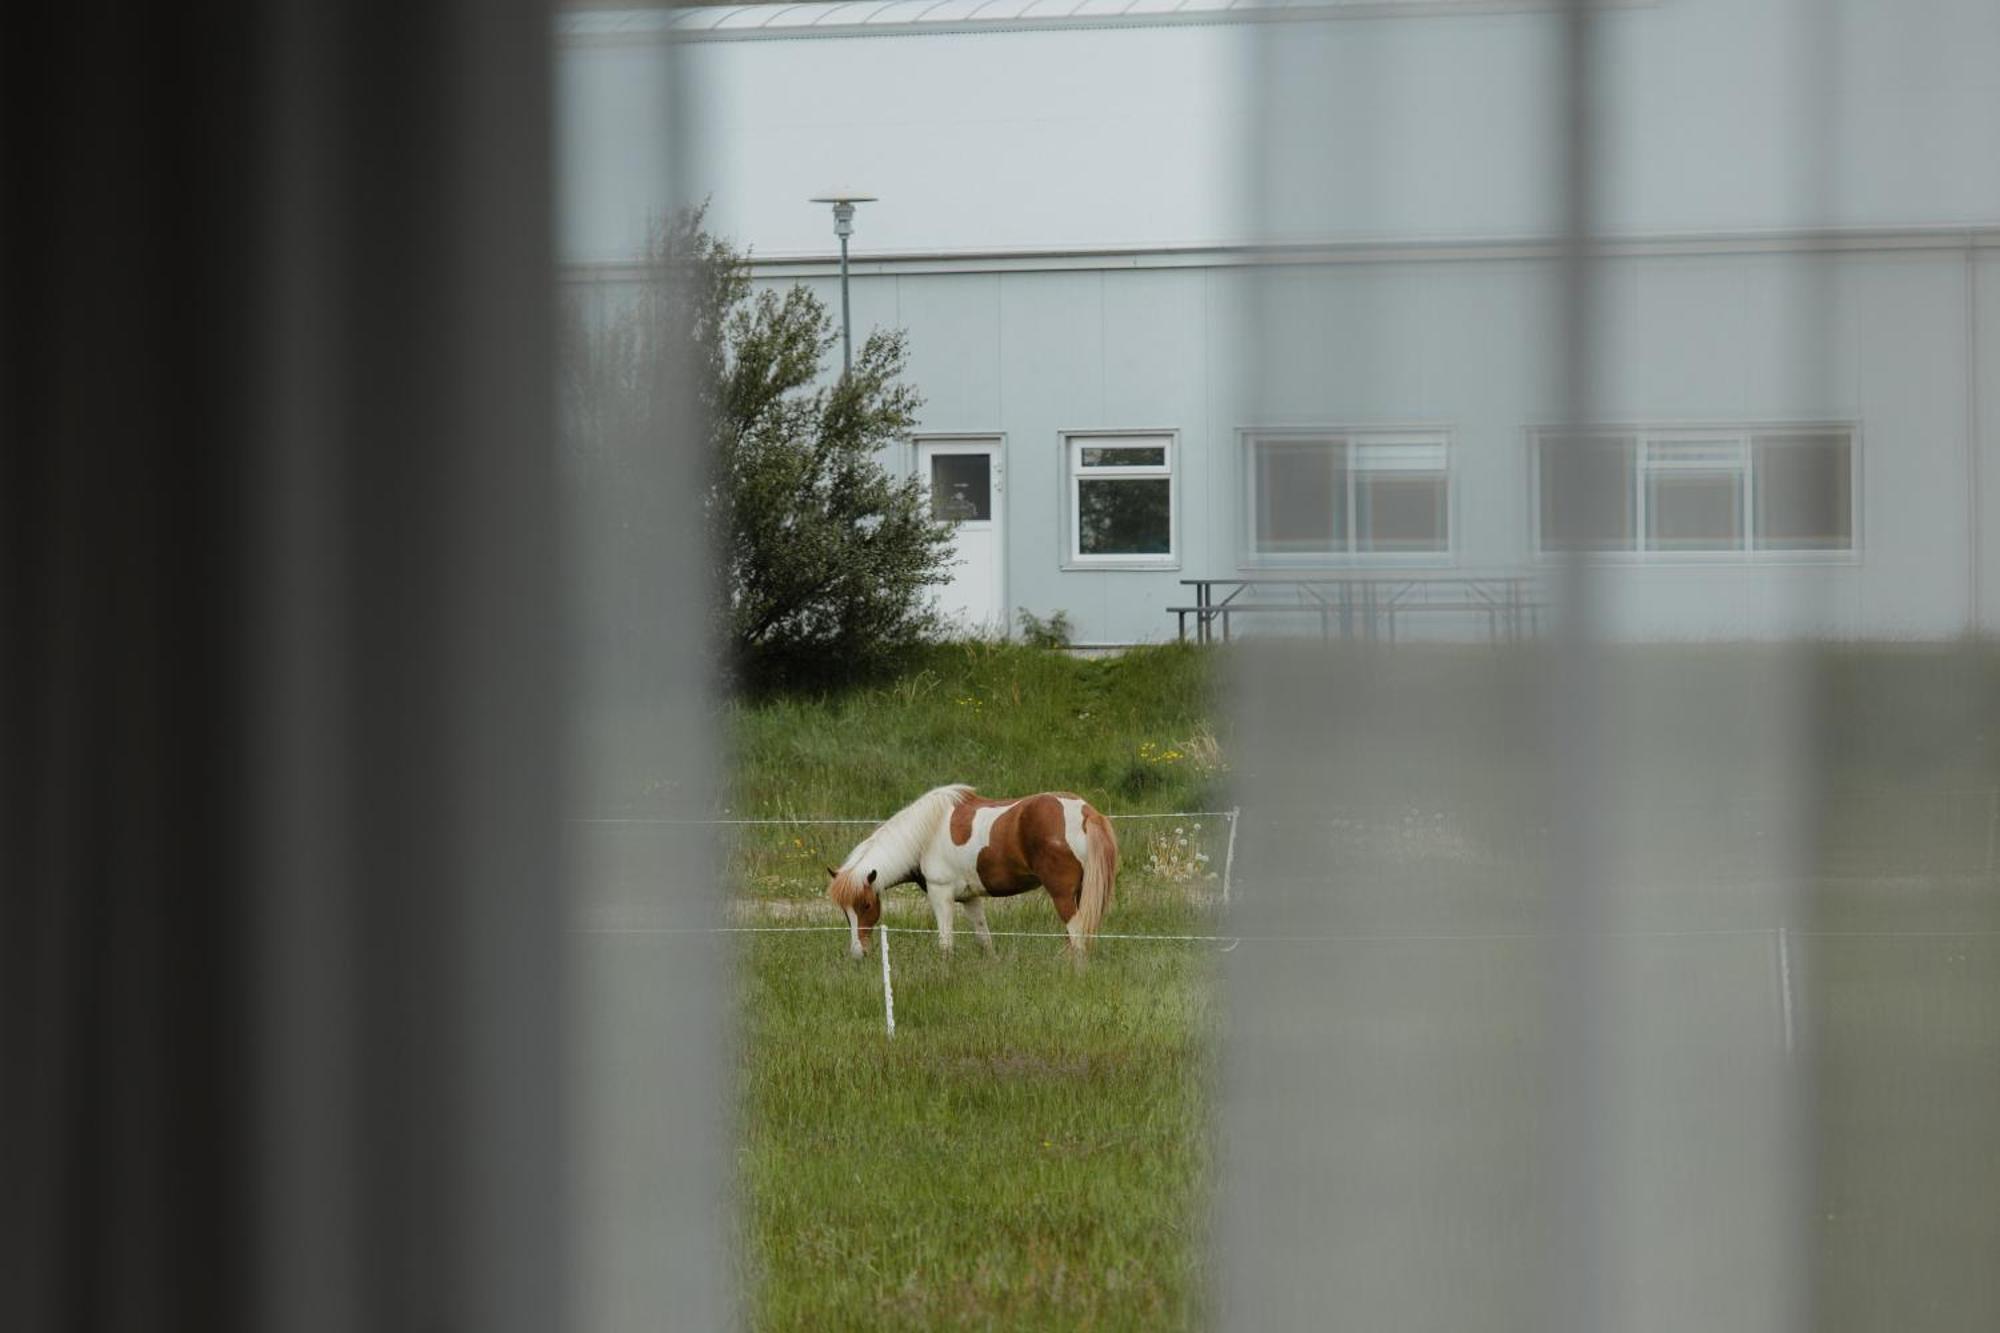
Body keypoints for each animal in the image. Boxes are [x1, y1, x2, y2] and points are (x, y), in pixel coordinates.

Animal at [820, 780, 1120, 956]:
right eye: (845, 911)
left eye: (866, 905)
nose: (858, 953)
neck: (924, 834)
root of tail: (1087, 813)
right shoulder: (970, 899)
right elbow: (984, 940)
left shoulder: (940, 894)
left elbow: (945, 944)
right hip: (1082, 892)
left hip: (1062, 894)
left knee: (1077, 934)